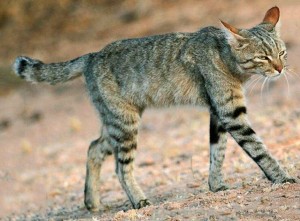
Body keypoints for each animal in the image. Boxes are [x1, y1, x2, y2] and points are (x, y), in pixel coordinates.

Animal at [12, 6, 296, 212]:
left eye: (282, 53)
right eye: (263, 57)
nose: (280, 69)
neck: (226, 58)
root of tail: (91, 55)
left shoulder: (218, 114)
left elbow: (218, 152)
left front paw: (215, 185)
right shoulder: (230, 113)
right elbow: (258, 149)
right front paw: (281, 178)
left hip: (115, 122)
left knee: (93, 147)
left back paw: (92, 202)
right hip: (125, 124)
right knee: (120, 167)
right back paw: (139, 200)